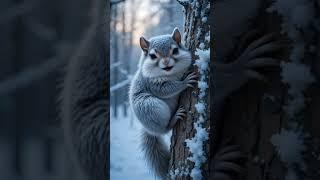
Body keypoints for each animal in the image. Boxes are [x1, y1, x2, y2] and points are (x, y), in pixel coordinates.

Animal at [127, 27, 198, 179]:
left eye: (175, 50)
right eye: (153, 56)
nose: (166, 62)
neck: (171, 74)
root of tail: (149, 129)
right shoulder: (153, 84)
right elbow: (166, 89)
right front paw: (184, 82)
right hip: (152, 108)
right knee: (165, 128)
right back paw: (174, 118)